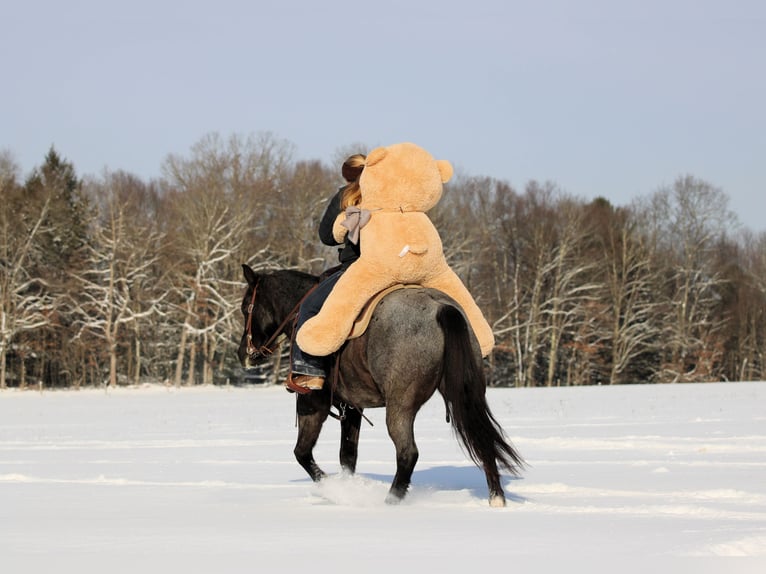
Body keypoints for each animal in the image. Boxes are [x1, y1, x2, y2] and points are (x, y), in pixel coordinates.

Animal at [237, 263, 524, 506]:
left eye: (245, 307)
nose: (243, 354)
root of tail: (442, 308)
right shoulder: (352, 407)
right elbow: (347, 456)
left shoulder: (312, 402)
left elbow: (302, 453)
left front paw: (334, 489)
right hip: (466, 394)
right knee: (483, 439)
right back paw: (496, 497)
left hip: (400, 405)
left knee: (408, 453)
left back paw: (390, 502)